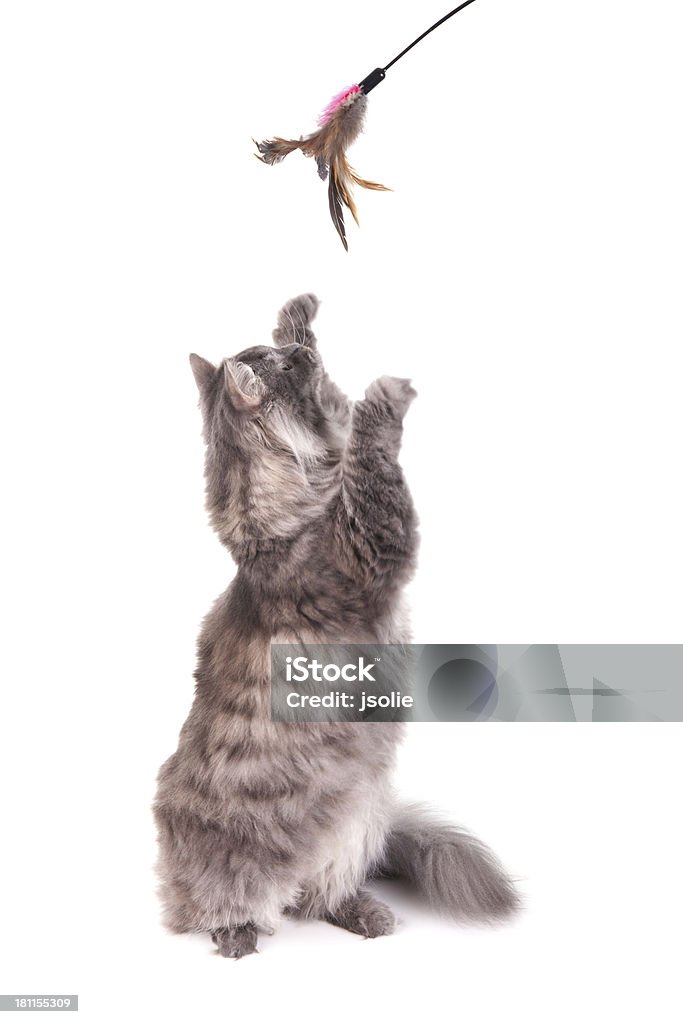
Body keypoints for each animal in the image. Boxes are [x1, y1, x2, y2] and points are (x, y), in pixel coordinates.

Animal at [154, 292, 518, 954]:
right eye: (277, 367)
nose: (297, 354)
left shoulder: (342, 467)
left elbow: (341, 417)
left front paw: (300, 316)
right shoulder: (372, 542)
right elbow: (368, 453)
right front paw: (386, 392)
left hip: (355, 825)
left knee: (318, 896)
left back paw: (364, 914)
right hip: (230, 861)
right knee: (225, 906)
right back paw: (237, 935)